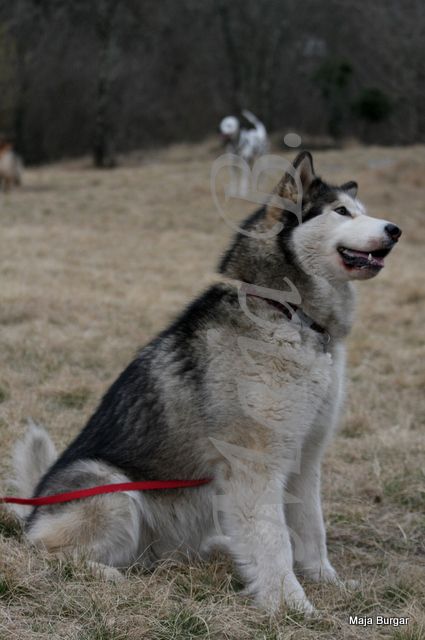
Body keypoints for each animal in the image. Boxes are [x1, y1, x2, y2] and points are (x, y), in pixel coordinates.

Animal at [10, 151, 400, 616]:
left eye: (362, 210)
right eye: (341, 212)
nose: (395, 230)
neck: (289, 312)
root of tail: (32, 512)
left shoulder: (307, 454)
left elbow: (311, 528)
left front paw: (328, 582)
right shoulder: (254, 462)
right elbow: (273, 539)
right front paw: (290, 605)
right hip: (114, 492)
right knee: (46, 553)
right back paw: (105, 574)